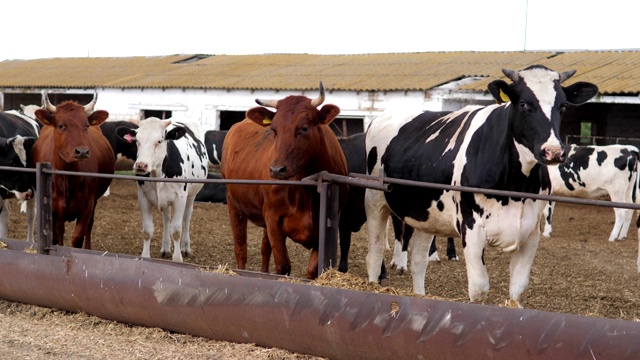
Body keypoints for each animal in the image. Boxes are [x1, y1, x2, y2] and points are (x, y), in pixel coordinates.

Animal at [31, 94, 115, 249]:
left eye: (86, 125)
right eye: (61, 125)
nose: (82, 151)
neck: (68, 177)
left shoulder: (87, 205)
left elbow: (77, 238)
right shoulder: (54, 208)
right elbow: (56, 238)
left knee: (90, 226)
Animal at [117, 118, 210, 262]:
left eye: (159, 141)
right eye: (137, 140)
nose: (141, 165)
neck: (157, 174)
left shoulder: (180, 198)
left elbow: (176, 230)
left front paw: (177, 259)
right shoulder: (143, 197)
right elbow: (147, 230)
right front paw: (145, 256)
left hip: (191, 195)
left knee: (187, 217)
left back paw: (185, 248)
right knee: (166, 219)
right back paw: (166, 248)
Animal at [221, 83, 350, 280]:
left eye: (304, 128)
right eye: (274, 130)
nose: (276, 169)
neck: (305, 191)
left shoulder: (325, 227)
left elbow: (312, 270)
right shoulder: (273, 219)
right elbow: (282, 266)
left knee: (264, 249)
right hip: (234, 203)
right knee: (241, 248)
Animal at [364, 65, 600, 306]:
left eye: (562, 106)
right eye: (523, 104)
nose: (553, 151)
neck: (516, 187)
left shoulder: (531, 233)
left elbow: (517, 289)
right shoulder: (471, 229)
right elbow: (479, 289)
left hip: (427, 214)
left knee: (419, 261)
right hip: (375, 200)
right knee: (374, 252)